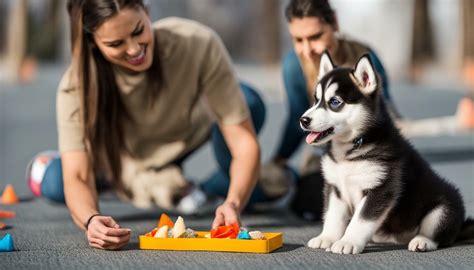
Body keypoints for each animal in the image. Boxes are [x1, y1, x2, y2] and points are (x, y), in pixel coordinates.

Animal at [302, 51, 472, 254]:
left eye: (335, 102)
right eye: (315, 100)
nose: (303, 120)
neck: (353, 146)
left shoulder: (382, 188)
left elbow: (360, 221)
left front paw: (348, 241)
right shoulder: (335, 187)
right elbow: (333, 217)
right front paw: (326, 238)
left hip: (444, 207)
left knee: (438, 233)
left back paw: (422, 241)